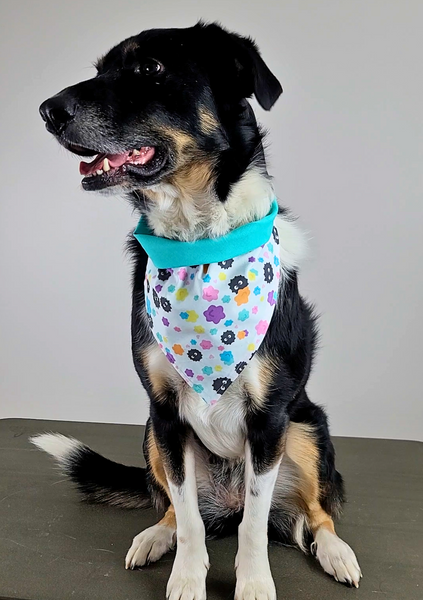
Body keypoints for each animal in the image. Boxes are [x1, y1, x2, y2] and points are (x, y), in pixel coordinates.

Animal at [33, 22, 362, 600]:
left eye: (150, 69)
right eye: (100, 70)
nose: (48, 110)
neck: (198, 244)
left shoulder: (269, 419)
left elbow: (255, 523)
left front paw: (253, 583)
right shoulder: (166, 415)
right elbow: (187, 517)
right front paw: (188, 578)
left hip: (307, 426)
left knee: (317, 512)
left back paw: (336, 552)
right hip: (150, 432)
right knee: (172, 508)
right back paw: (154, 537)